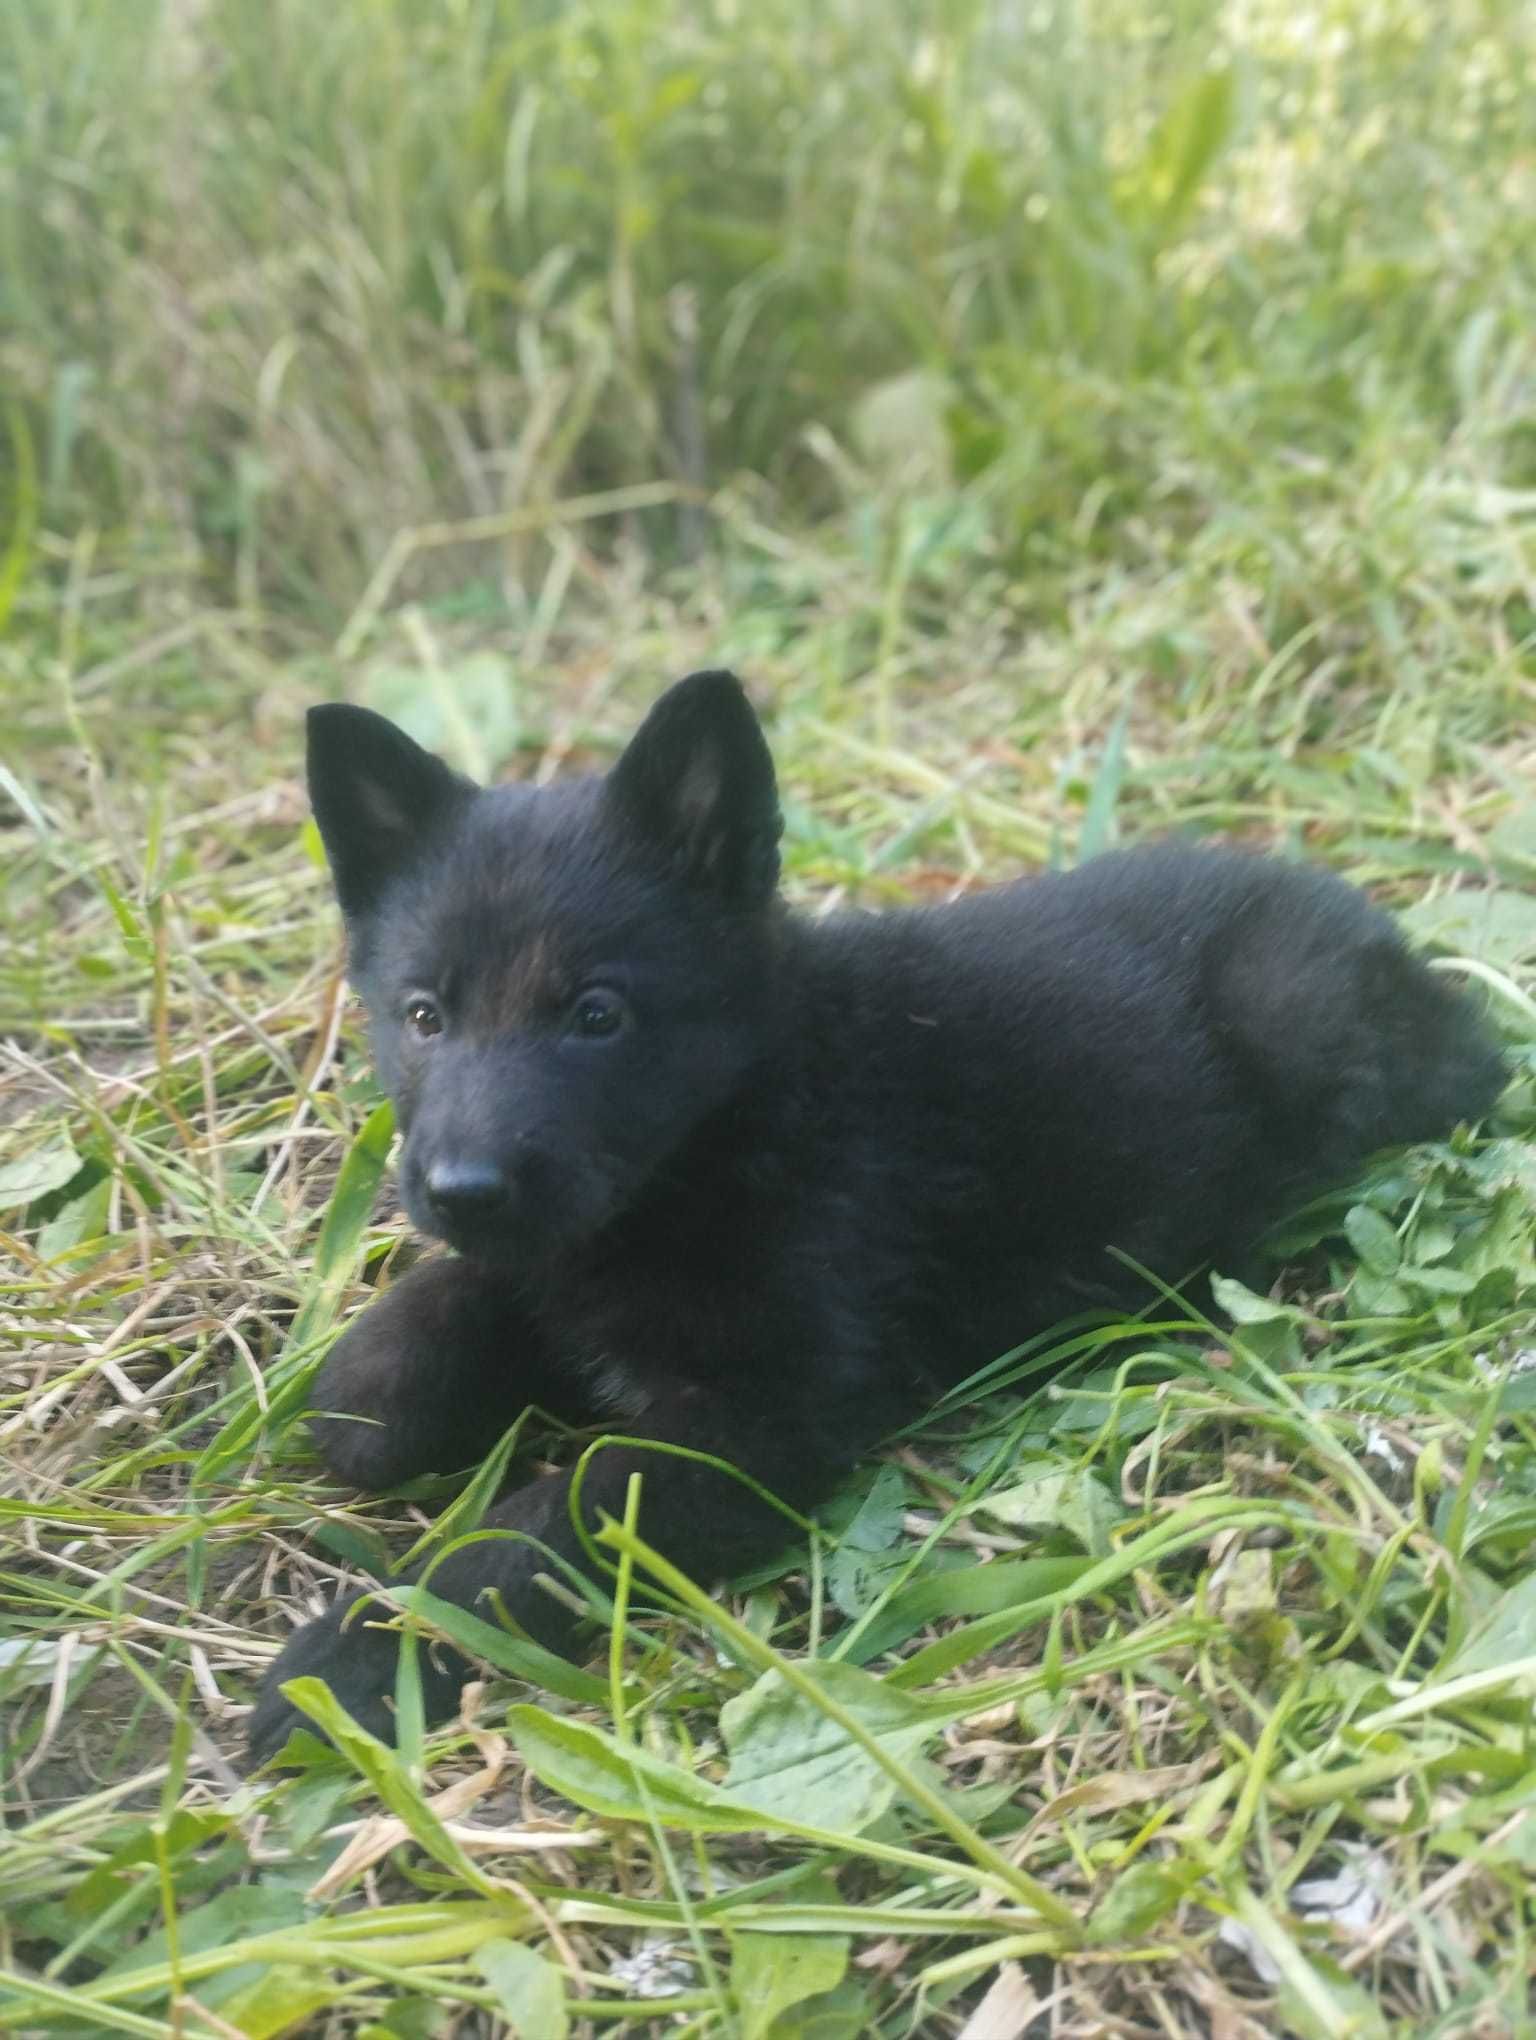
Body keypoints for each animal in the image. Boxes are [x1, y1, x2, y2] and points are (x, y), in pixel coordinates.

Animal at [248, 669, 1501, 1754]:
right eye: (424, 1015)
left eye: (597, 1015)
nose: (461, 1188)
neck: (748, 1117)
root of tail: (1373, 926)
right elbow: (409, 1351)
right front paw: (375, 1385)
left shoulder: (762, 1417)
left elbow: (545, 1524)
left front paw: (359, 1650)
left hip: (1301, 1020)